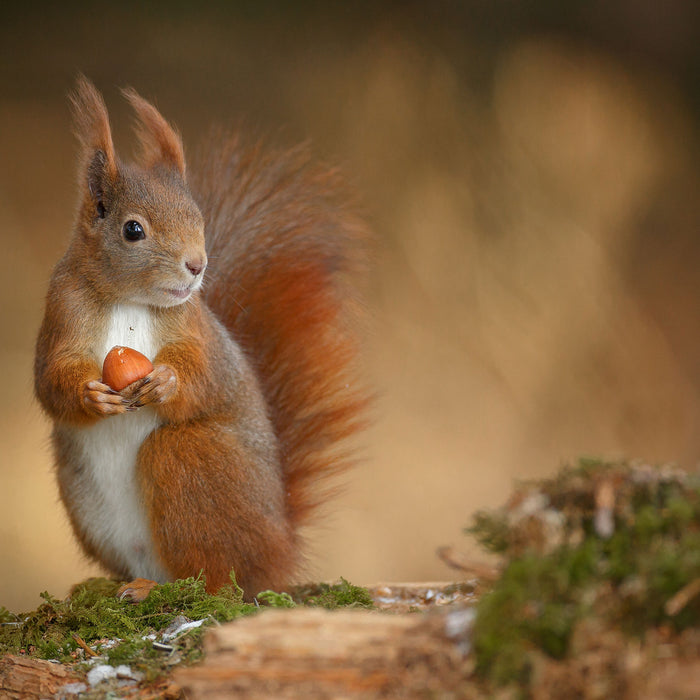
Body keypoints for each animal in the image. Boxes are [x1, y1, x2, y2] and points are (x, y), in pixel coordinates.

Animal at [32, 78, 370, 600]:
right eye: (133, 229)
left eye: (198, 217)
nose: (197, 265)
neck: (128, 300)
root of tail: (279, 551)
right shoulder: (62, 313)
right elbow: (51, 380)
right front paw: (91, 396)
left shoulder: (196, 330)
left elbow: (204, 374)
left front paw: (167, 382)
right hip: (85, 499)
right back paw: (131, 585)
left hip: (193, 460)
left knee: (215, 577)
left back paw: (166, 589)